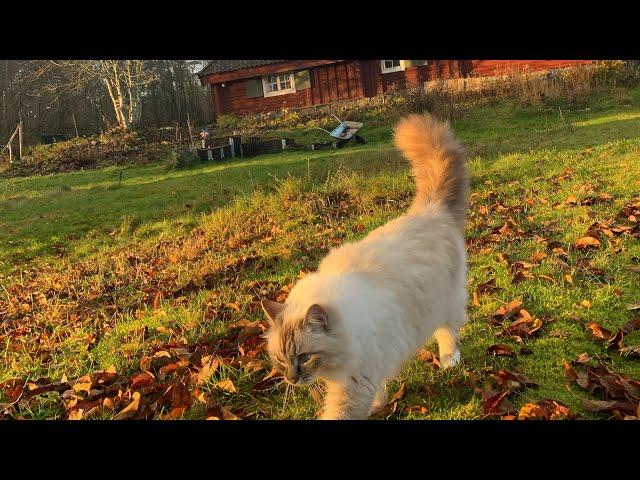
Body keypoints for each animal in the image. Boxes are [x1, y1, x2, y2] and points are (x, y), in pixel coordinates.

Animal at [262, 113, 470, 420]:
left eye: (305, 357)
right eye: (280, 359)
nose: (292, 379)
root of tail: (429, 210)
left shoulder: (354, 381)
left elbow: (341, 413)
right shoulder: (369, 369)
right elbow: (378, 391)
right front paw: (378, 406)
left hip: (445, 304)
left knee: (449, 331)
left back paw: (449, 361)